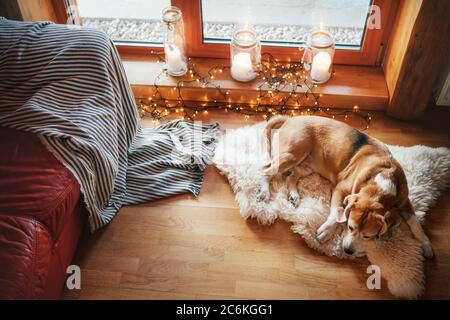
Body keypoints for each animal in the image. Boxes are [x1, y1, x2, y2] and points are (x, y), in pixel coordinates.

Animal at [262, 114, 434, 258]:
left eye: (367, 236)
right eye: (350, 227)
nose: (347, 251)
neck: (384, 180)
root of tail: (291, 118)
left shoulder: (405, 201)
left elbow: (415, 222)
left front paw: (426, 244)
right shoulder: (341, 189)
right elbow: (337, 212)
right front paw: (326, 231)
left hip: (306, 166)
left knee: (291, 177)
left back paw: (294, 195)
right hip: (292, 155)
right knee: (265, 170)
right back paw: (264, 192)